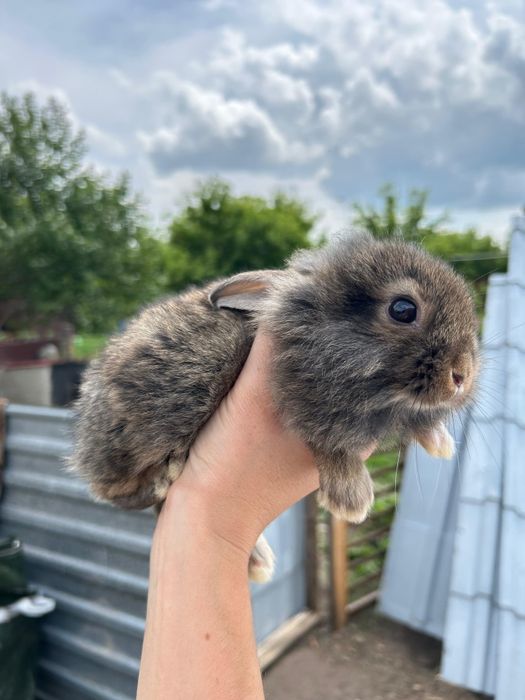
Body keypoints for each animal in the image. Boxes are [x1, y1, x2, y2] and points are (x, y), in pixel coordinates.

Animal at [71, 233, 479, 583]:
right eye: (403, 309)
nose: (462, 375)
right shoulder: (304, 400)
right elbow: (330, 443)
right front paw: (352, 497)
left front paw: (439, 442)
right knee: (117, 491)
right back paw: (163, 477)